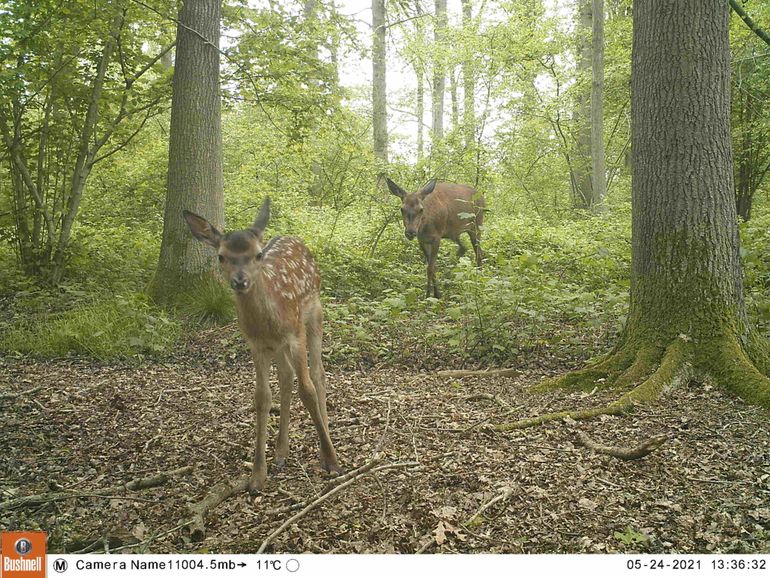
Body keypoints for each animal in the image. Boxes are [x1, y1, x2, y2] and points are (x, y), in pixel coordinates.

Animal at [183, 198, 340, 490]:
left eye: (257, 255)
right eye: (221, 256)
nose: (240, 280)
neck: (270, 319)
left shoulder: (295, 333)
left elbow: (308, 390)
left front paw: (331, 460)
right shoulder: (256, 345)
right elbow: (262, 397)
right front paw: (257, 474)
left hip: (315, 312)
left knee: (318, 374)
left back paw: (324, 438)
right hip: (277, 346)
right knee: (286, 376)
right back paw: (281, 452)